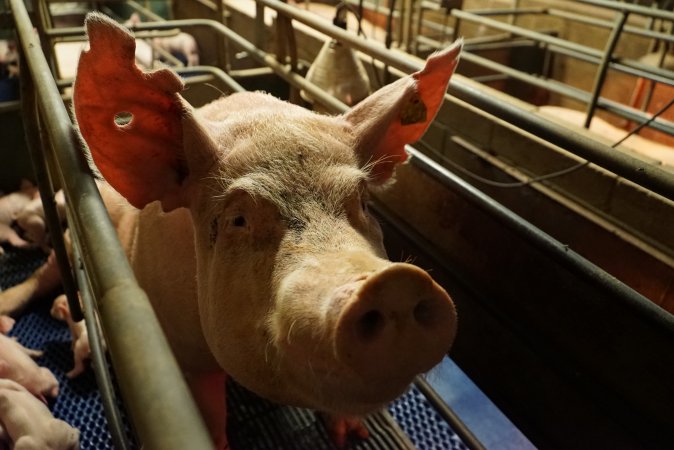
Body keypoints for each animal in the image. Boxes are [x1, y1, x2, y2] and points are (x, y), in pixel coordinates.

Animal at [15, 12, 456, 448]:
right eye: (238, 219)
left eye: (363, 200)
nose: (395, 284)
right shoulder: (183, 352)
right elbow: (209, 410)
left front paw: (353, 435)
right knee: (40, 278)